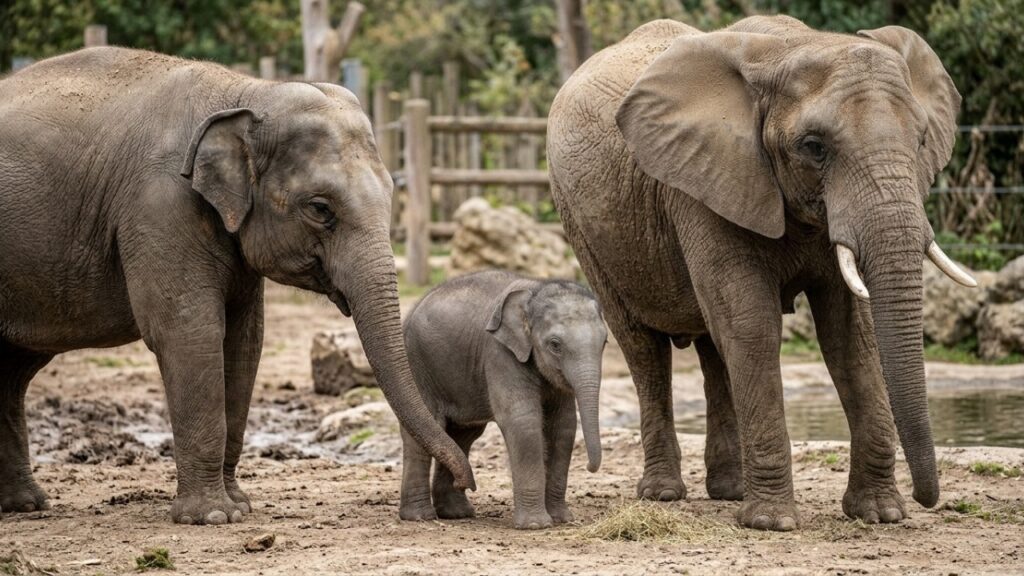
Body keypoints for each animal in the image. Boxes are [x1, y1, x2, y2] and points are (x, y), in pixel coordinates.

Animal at [0, 47, 474, 524]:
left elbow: (245, 341)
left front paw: (239, 506)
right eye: (320, 208)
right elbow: (190, 332)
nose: (466, 481)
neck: (245, 93)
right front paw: (212, 517)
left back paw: (24, 505)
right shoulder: (160, 206)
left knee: (14, 371)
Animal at [398, 271, 606, 529]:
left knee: (462, 434)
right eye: (555, 345)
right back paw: (420, 516)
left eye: (605, 343)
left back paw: (456, 512)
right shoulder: (500, 353)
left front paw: (561, 519)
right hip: (418, 364)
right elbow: (522, 420)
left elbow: (564, 425)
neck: (535, 290)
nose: (589, 467)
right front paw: (535, 526)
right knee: (424, 429)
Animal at [546, 16, 977, 531]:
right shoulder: (701, 183)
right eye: (813, 147)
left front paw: (879, 514)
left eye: (921, 141)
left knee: (714, 349)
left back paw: (729, 491)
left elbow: (849, 335)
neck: (791, 47)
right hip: (582, 223)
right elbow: (752, 326)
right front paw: (772, 523)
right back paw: (664, 493)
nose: (926, 498)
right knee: (643, 346)